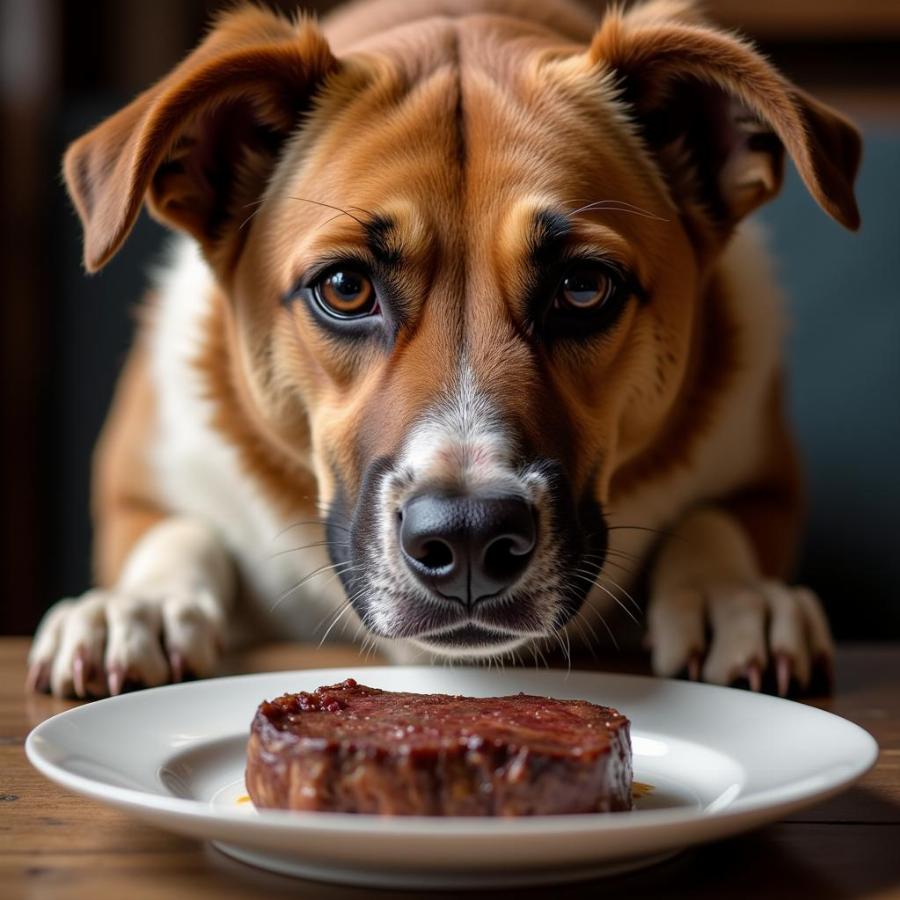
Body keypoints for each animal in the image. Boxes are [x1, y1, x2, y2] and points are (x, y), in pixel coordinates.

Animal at [26, 0, 856, 700]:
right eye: (345, 288)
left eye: (584, 286)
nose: (468, 537)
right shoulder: (140, 488)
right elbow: (178, 527)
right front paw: (134, 606)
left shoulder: (764, 480)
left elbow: (713, 518)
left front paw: (735, 596)